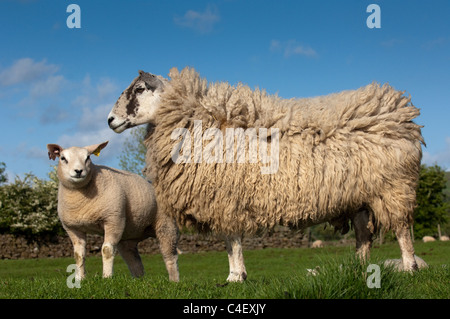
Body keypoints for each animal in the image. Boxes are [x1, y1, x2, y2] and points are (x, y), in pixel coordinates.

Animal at [46, 141, 179, 282]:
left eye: (88, 158)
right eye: (63, 158)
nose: (78, 171)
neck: (81, 199)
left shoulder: (113, 220)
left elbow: (107, 250)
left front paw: (107, 277)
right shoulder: (73, 228)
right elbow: (78, 255)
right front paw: (80, 279)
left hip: (166, 225)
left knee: (170, 256)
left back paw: (174, 281)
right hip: (129, 235)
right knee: (134, 260)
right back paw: (138, 280)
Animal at [107, 67, 424, 282]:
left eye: (139, 89)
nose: (110, 120)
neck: (196, 120)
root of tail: (401, 109)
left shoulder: (225, 197)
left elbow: (231, 239)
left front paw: (235, 277)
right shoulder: (223, 199)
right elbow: (229, 240)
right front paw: (236, 275)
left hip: (394, 187)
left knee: (402, 229)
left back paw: (409, 269)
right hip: (360, 197)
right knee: (363, 236)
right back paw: (359, 270)